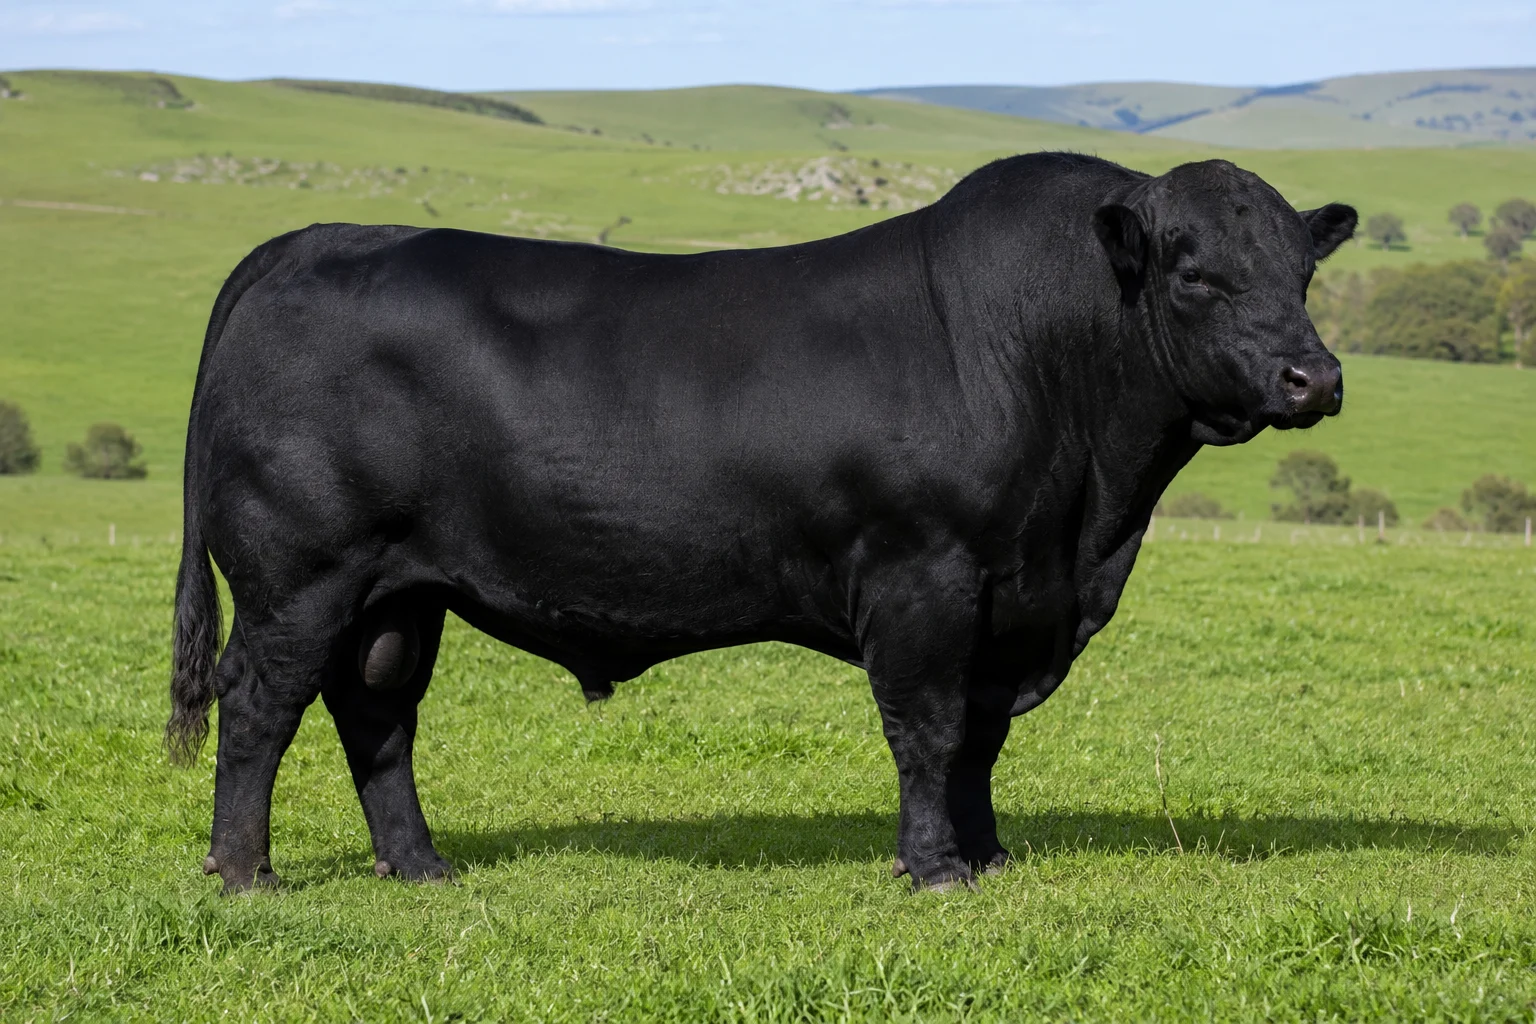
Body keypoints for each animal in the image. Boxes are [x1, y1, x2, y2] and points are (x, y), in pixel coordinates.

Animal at [166, 153, 1355, 894]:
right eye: (1195, 275)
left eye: (1305, 271)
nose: (1316, 376)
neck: (1086, 525)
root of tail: (312, 238)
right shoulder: (925, 577)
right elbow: (929, 730)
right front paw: (935, 869)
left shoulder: (1010, 598)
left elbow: (980, 739)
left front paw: (988, 856)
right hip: (298, 574)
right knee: (260, 703)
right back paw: (246, 874)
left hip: (397, 590)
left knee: (377, 711)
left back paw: (418, 865)